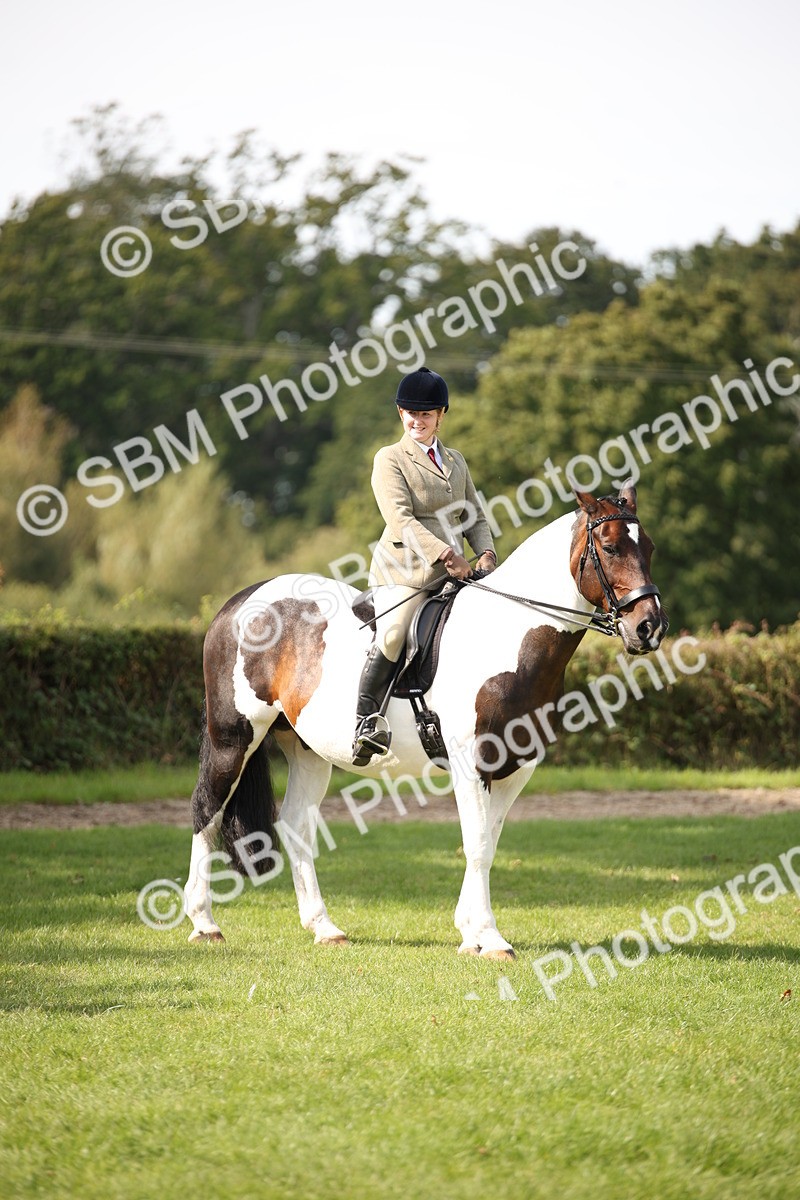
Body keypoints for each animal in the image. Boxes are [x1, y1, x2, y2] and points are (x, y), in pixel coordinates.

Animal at [183, 479, 668, 961]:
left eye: (649, 548)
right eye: (610, 547)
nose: (650, 628)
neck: (507, 634)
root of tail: (239, 602)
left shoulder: (516, 769)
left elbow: (488, 844)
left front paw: (470, 933)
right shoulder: (473, 765)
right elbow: (476, 846)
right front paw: (489, 938)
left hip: (307, 749)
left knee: (296, 824)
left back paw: (324, 927)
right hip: (234, 738)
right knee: (207, 810)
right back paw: (205, 923)